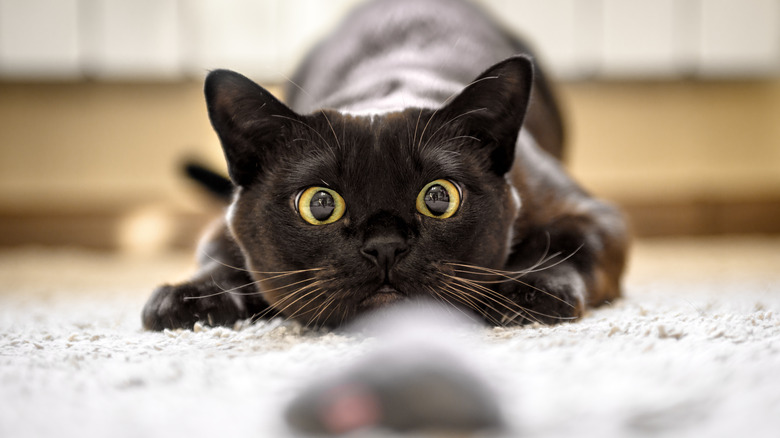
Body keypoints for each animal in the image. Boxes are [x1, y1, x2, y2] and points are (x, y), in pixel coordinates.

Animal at [140, 0, 628, 330]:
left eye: (439, 198)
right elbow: (218, 257)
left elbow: (562, 246)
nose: (385, 246)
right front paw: (185, 300)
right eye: (320, 204)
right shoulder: (222, 224)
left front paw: (525, 292)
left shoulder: (592, 213)